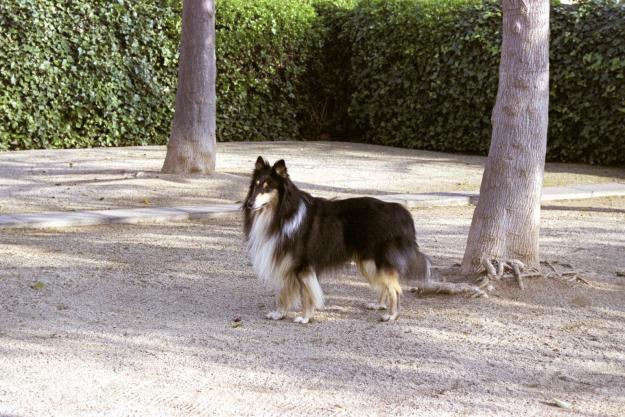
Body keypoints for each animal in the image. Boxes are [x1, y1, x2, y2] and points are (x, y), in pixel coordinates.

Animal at [243, 156, 428, 322]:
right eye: (255, 185)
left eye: (267, 188)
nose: (249, 204)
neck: (283, 213)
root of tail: (400, 211)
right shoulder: (287, 264)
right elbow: (283, 293)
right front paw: (279, 314)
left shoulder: (304, 266)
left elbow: (307, 295)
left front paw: (305, 317)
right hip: (368, 263)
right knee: (385, 285)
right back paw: (380, 305)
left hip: (378, 261)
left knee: (395, 289)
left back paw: (392, 315)